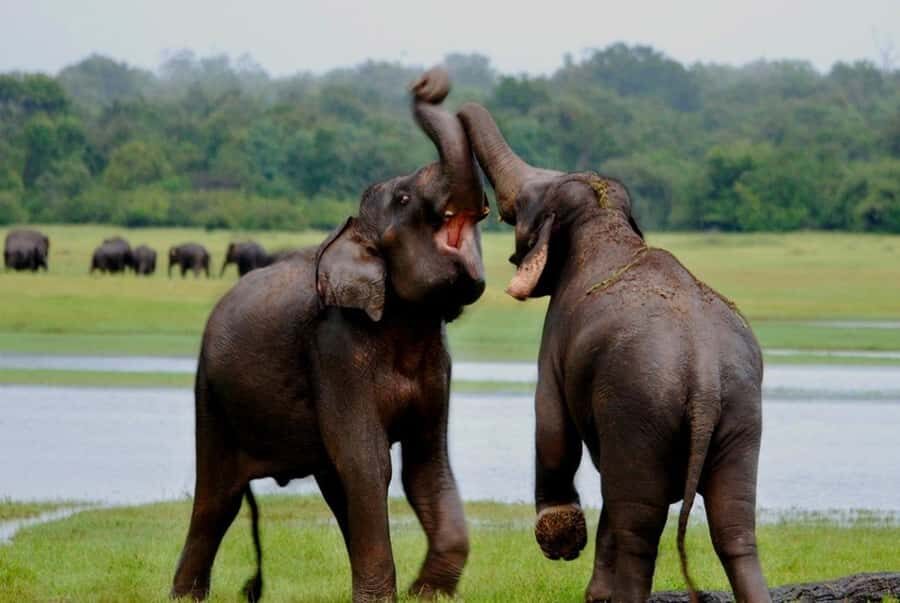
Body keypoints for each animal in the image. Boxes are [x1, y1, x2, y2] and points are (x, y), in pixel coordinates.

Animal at [171, 67, 488, 602]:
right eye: (404, 198)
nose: (427, 81)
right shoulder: (335, 349)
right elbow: (369, 461)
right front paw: (391, 598)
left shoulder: (438, 363)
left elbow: (426, 465)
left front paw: (425, 592)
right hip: (209, 394)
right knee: (218, 498)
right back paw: (184, 596)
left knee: (333, 486)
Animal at [458, 102, 769, 603]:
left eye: (522, 206)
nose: (427, 88)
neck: (605, 221)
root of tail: (703, 372)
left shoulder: (555, 337)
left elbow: (552, 424)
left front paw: (562, 540)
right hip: (742, 412)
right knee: (734, 526)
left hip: (639, 407)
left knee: (638, 523)